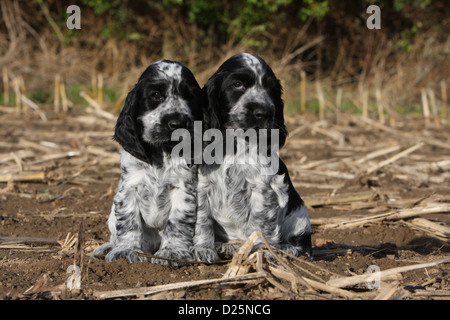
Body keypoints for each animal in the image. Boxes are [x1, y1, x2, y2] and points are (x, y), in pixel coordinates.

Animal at [92, 58, 214, 264]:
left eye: (190, 97)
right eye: (156, 95)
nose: (177, 123)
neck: (162, 152)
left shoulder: (183, 189)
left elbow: (177, 222)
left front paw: (172, 251)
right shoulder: (129, 188)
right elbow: (128, 222)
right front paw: (125, 251)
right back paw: (106, 248)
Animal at [195, 52, 312, 260]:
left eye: (270, 89)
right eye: (237, 84)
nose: (264, 112)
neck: (236, 144)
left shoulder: (263, 189)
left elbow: (260, 225)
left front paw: (259, 252)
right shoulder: (202, 185)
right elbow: (202, 220)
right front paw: (203, 249)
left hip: (300, 219)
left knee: (302, 247)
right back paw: (227, 247)